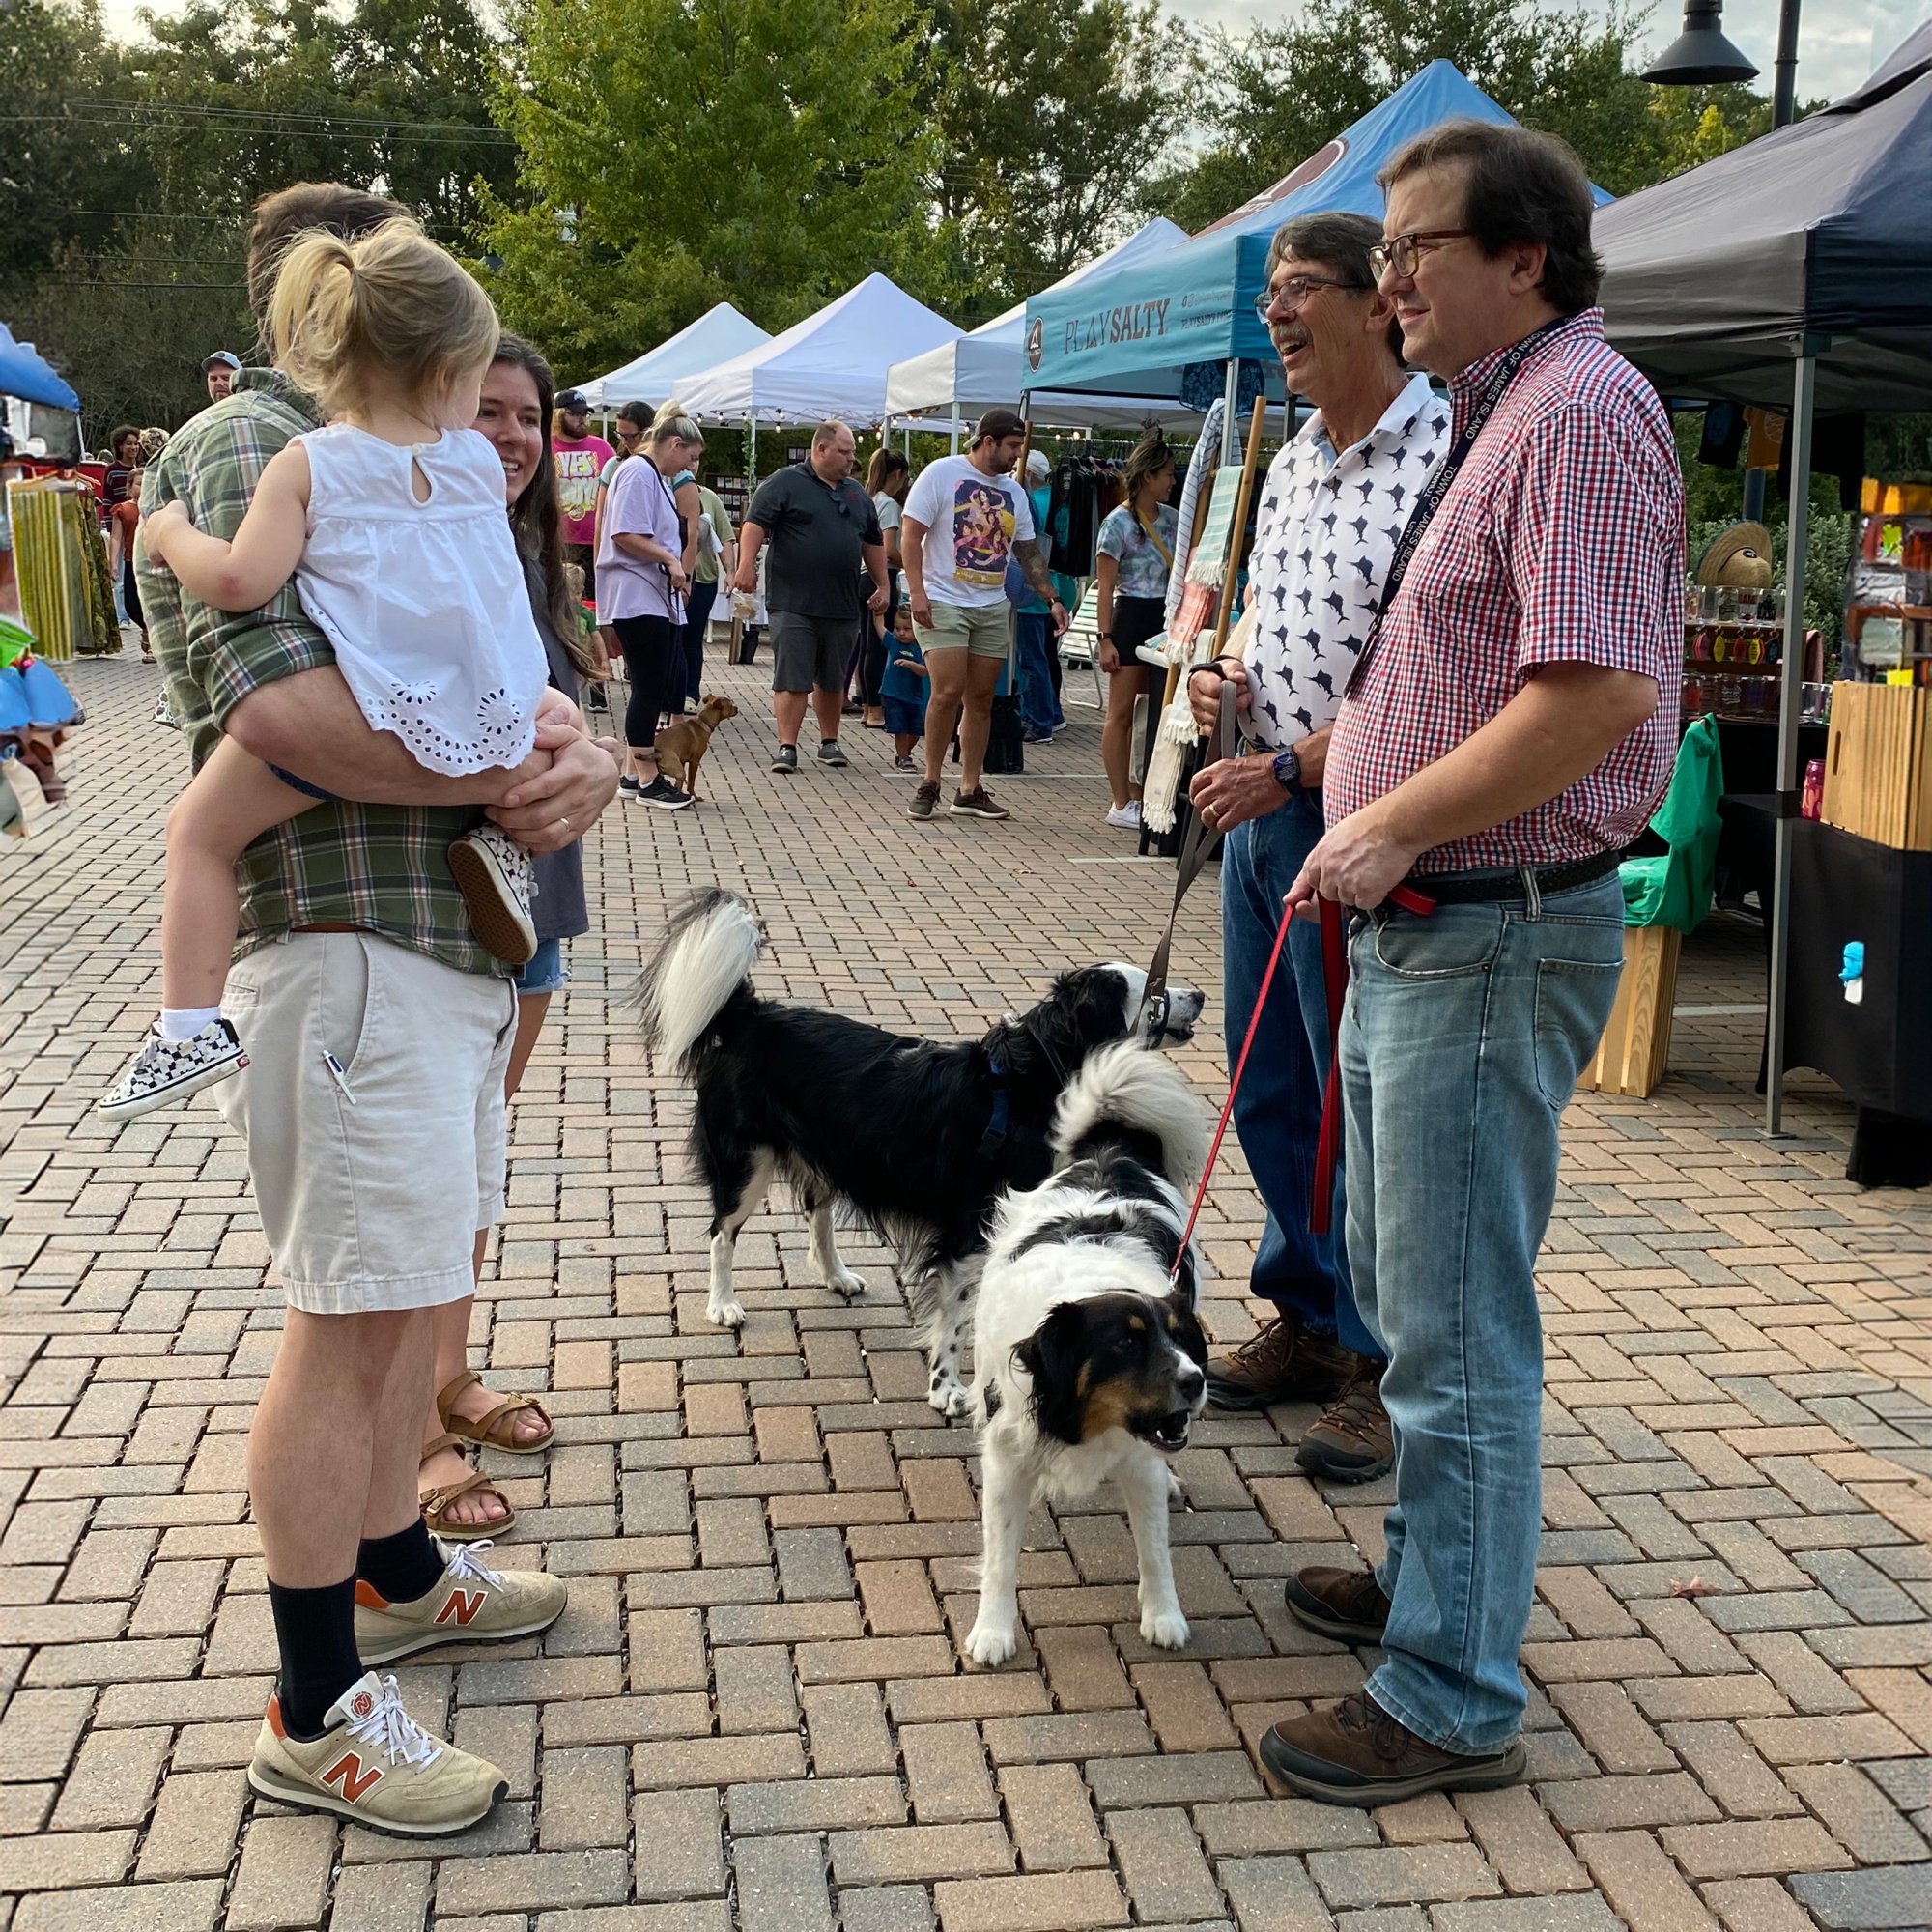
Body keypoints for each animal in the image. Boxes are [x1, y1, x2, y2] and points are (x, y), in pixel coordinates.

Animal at [641, 893, 1198, 1422]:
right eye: (1151, 991)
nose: (1199, 995)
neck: (1032, 1078)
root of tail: (751, 1016)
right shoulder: (968, 1233)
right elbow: (954, 1321)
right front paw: (947, 1390)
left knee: (816, 1211)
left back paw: (836, 1275)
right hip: (745, 1164)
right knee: (722, 1233)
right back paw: (723, 1303)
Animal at [966, 1043, 1206, 1662]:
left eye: (1182, 1338)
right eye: (1127, 1342)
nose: (1196, 1382)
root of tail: (1110, 1149)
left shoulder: (1141, 1459)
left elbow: (1155, 1549)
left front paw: (1164, 1616)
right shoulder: (1006, 1457)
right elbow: (1000, 1557)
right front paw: (993, 1630)